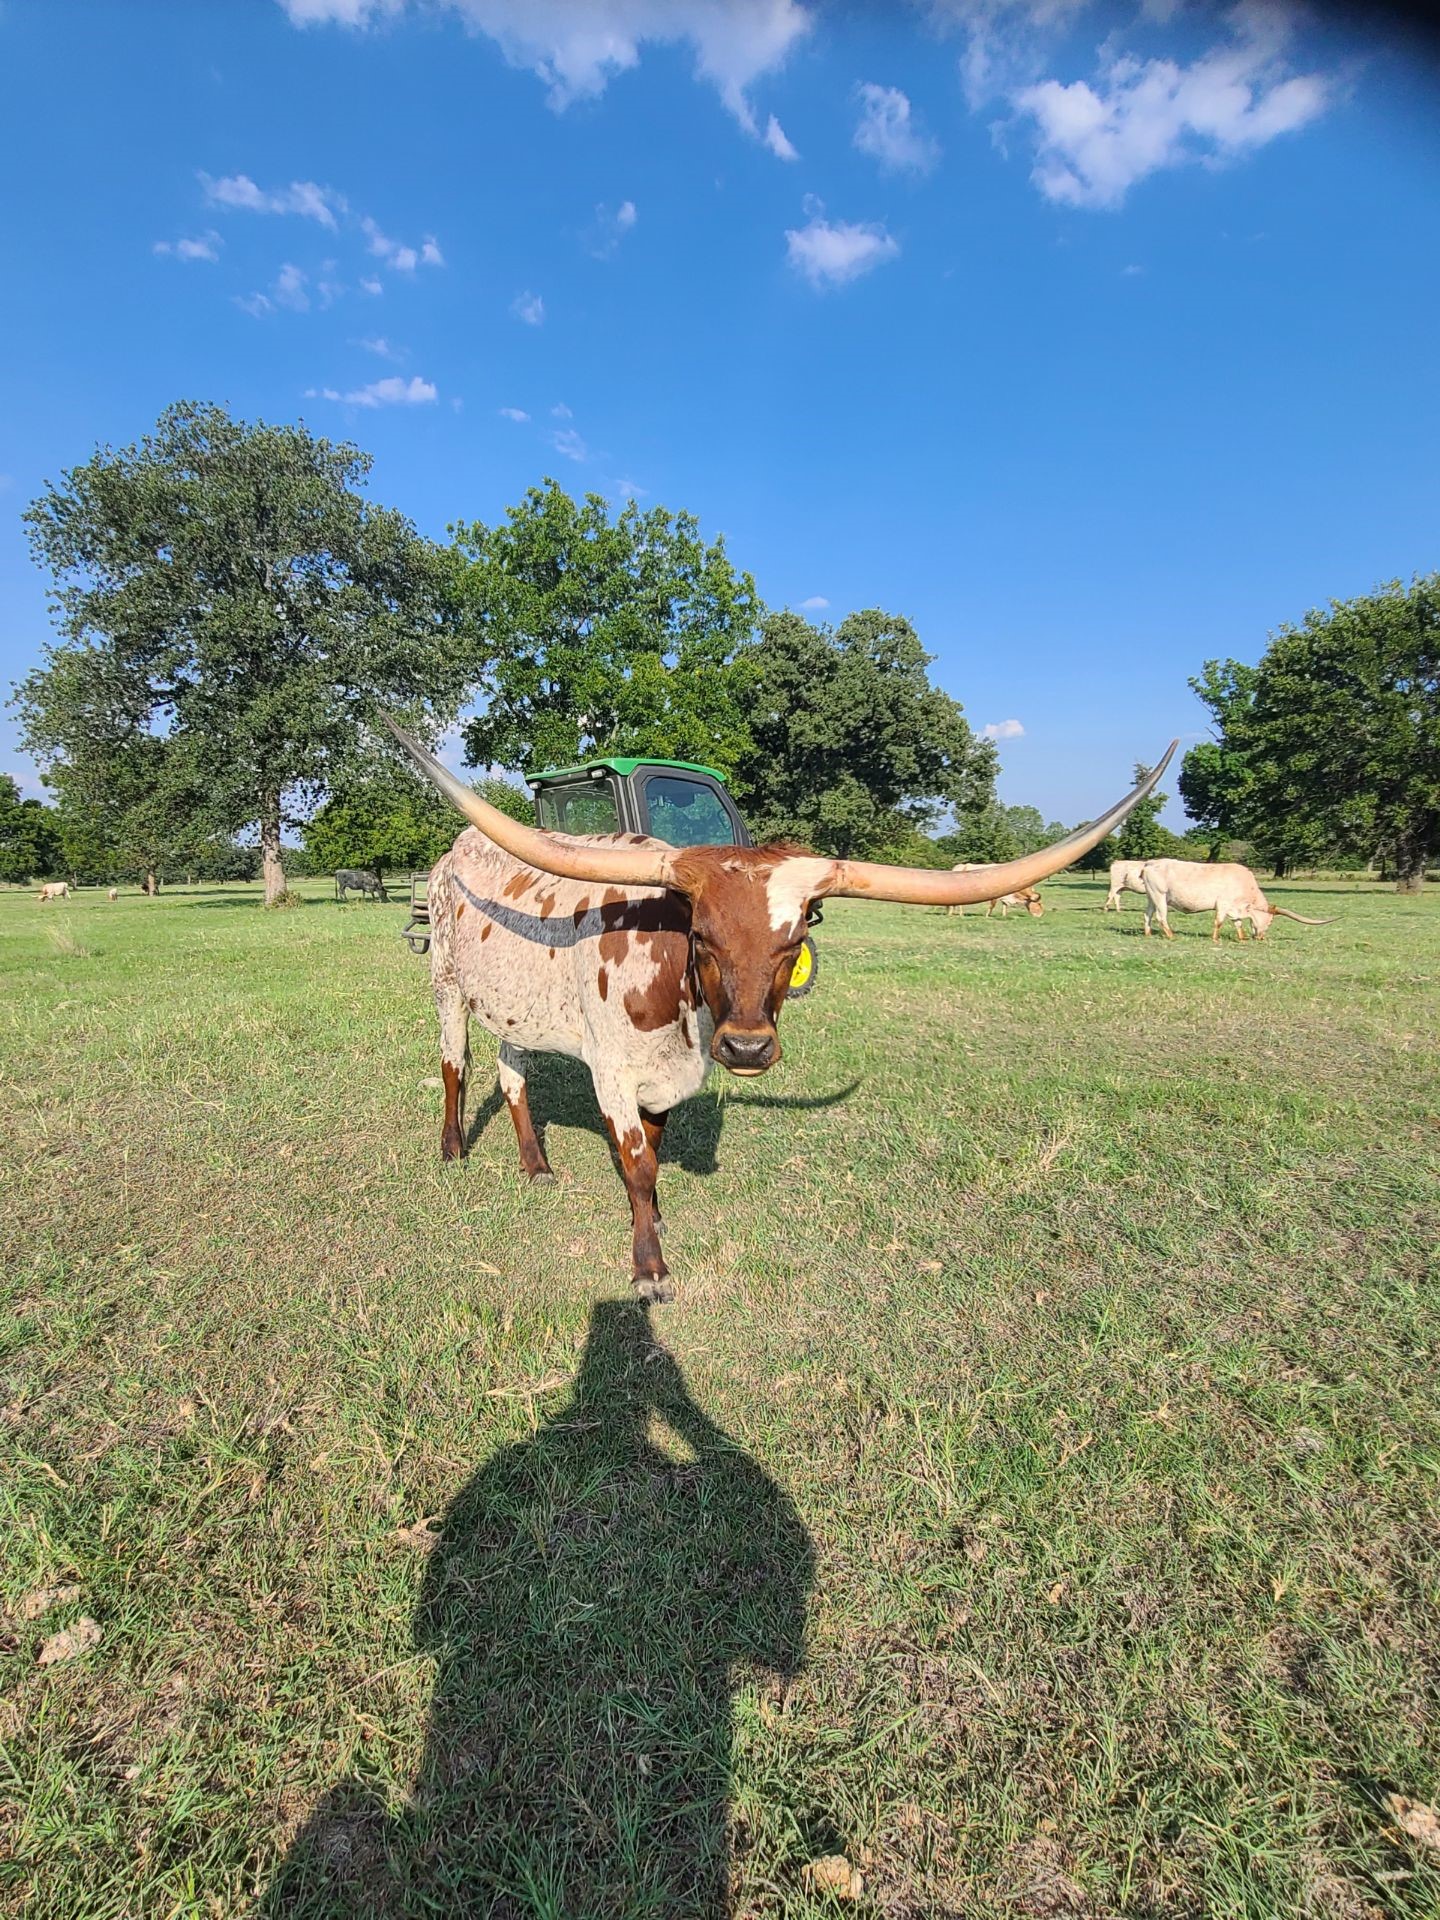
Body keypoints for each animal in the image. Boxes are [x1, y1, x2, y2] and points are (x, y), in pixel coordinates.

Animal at [385, 719, 1176, 1300]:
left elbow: (656, 1158)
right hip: (448, 987)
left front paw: (658, 1219)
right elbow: (636, 1166)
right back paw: (453, 1149)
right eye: (701, 933)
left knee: (511, 1072)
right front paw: (649, 1268)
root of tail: (454, 853)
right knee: (455, 1066)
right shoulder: (612, 1071)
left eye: (795, 937)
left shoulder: (670, 1078)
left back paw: (535, 1164)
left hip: (515, 1006)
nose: (746, 1049)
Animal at [1140, 858, 1334, 942]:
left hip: (1151, 896)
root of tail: (1150, 863)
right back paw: (1171, 936)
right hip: (1160, 895)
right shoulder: (1223, 904)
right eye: (1270, 922)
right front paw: (1215, 939)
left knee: (1147, 914)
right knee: (1161, 916)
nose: (1261, 937)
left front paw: (1242, 938)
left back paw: (1148, 934)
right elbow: (1219, 921)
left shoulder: (1235, 908)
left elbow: (1238, 923)